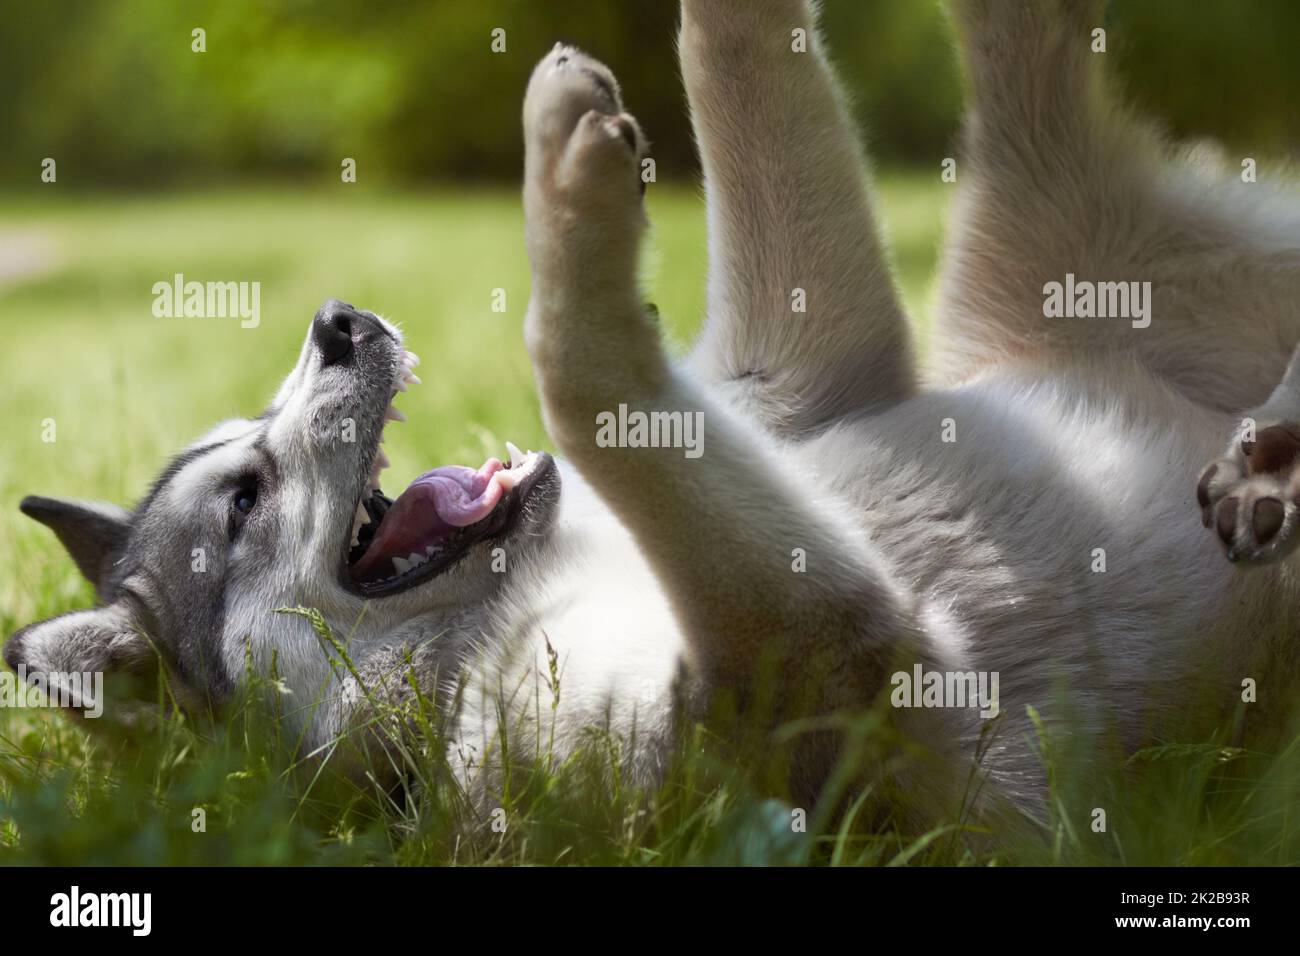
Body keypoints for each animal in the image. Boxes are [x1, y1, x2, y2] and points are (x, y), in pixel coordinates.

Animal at [7, 1, 1300, 822]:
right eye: (243, 498)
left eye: (248, 434)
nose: (338, 320)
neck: (505, 604)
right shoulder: (831, 671)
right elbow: (574, 368)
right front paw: (566, 180)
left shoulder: (793, 376)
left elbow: (728, 66)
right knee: (1025, 83)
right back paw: (1273, 465)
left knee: (1016, 51)